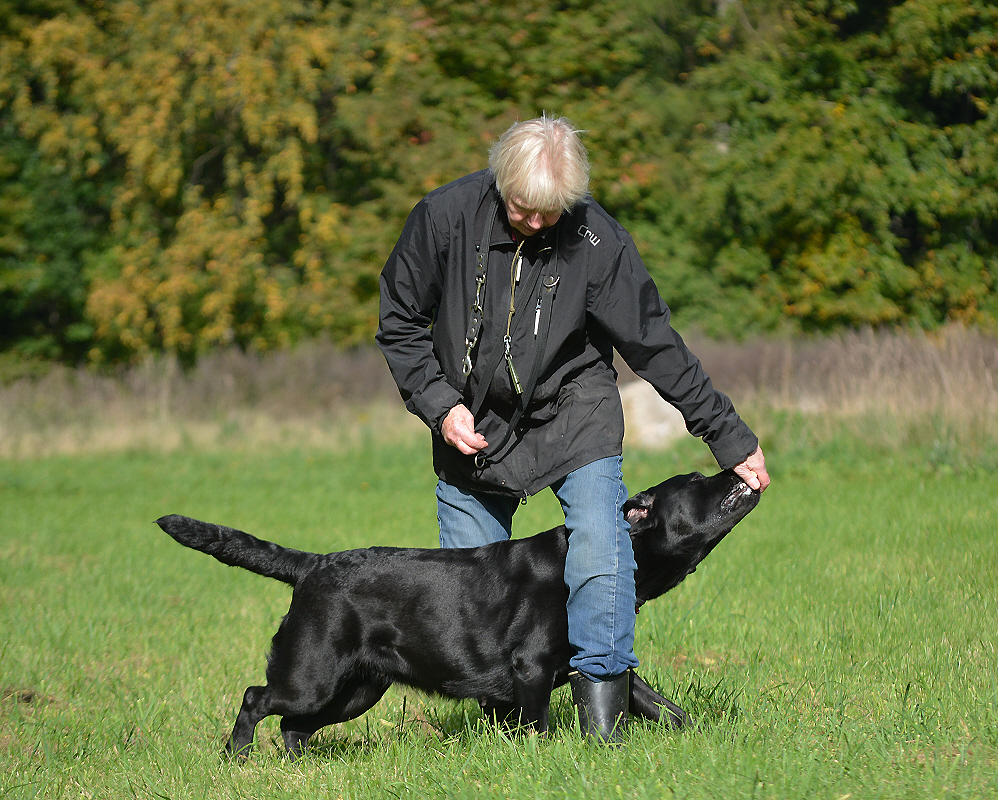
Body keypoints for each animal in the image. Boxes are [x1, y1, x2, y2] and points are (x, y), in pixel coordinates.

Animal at [160, 466, 760, 752]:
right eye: (698, 482)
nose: (739, 469)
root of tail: (312, 564)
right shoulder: (530, 667)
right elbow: (537, 725)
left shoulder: (605, 661)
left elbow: (661, 707)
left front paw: (712, 738)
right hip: (311, 674)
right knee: (256, 698)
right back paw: (236, 756)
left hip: (355, 689)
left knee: (293, 725)